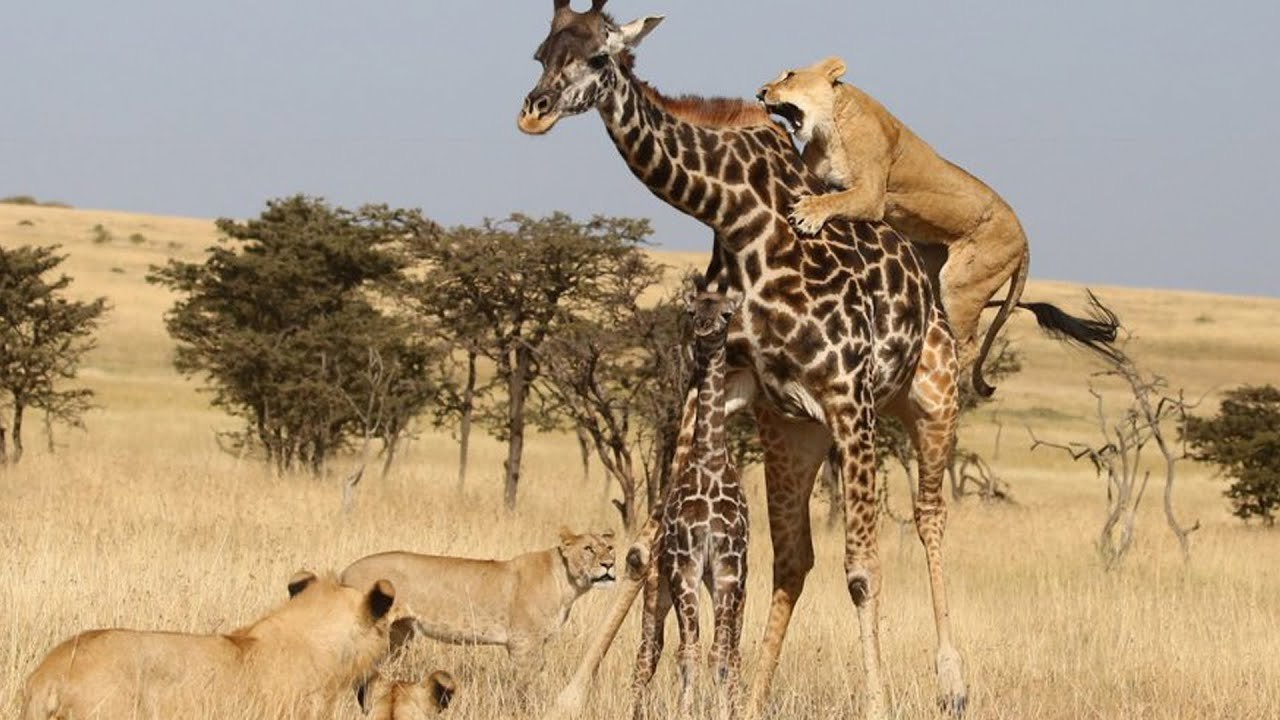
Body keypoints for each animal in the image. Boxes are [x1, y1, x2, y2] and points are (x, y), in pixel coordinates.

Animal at [339, 528, 616, 686]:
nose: (610, 564)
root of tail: (346, 571)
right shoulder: (523, 642)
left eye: (610, 548)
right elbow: (526, 683)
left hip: (398, 635)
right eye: (588, 549)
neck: (567, 584)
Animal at [632, 286, 749, 720]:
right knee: (647, 653)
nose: (704, 328)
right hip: (656, 589)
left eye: (728, 313)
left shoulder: (729, 569)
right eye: (692, 310)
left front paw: (725, 711)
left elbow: (719, 654)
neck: (710, 460)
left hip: (731, 587)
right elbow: (689, 652)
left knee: (732, 651)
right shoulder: (686, 566)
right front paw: (687, 710)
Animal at [758, 56, 1031, 396]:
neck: (828, 128)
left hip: (963, 283)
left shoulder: (871, 195)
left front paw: (808, 213)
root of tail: (1025, 238)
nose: (760, 93)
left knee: (969, 347)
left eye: (790, 76)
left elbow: (835, 200)